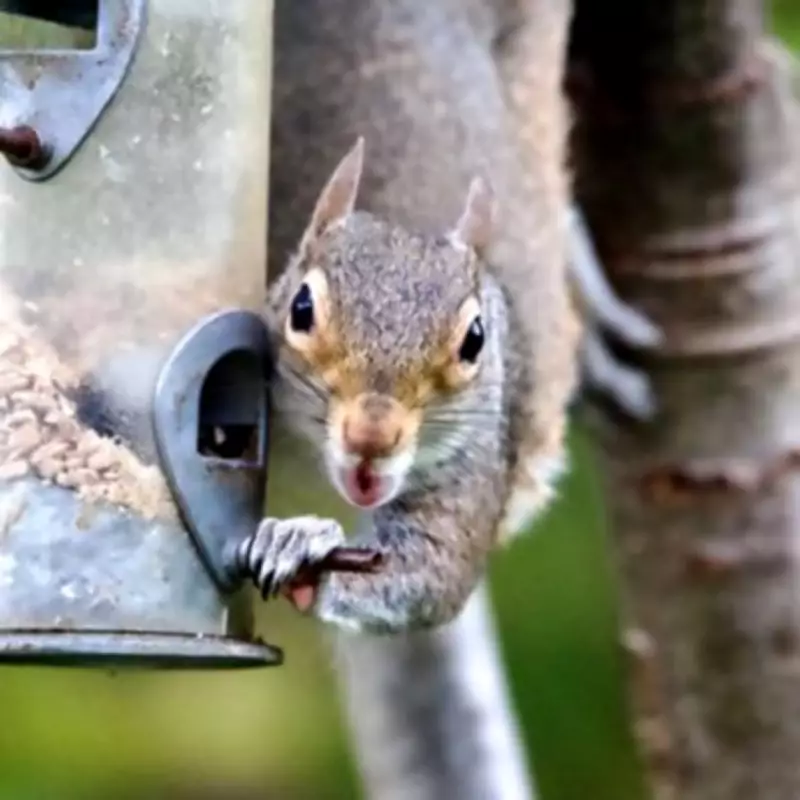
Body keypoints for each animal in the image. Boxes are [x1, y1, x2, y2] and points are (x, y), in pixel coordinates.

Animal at [237, 0, 660, 635]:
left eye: (475, 341)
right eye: (302, 309)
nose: (372, 435)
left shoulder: (475, 459)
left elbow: (431, 574)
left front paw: (302, 544)